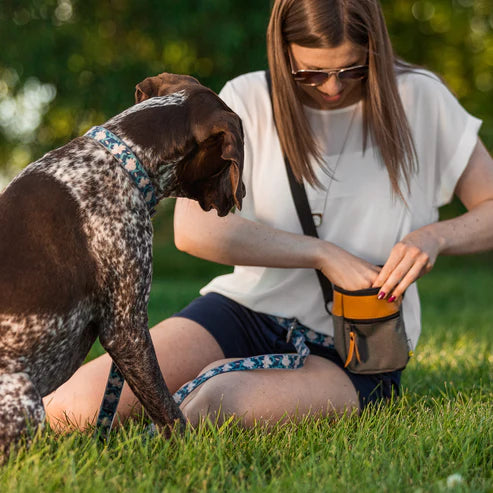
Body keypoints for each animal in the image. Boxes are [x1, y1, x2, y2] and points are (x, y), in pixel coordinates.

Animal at [0, 72, 244, 454]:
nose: (237, 197)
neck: (125, 159)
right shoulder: (126, 328)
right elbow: (167, 409)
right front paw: (189, 452)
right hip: (21, 391)